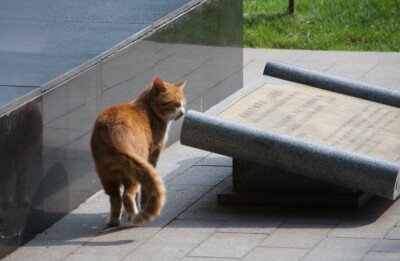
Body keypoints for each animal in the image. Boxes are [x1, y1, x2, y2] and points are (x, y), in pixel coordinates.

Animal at [90, 77, 186, 225]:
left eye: (183, 104)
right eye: (175, 104)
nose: (183, 112)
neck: (148, 108)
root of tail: (113, 137)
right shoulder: (151, 157)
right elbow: (145, 191)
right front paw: (144, 205)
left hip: (106, 174)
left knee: (115, 197)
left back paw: (114, 220)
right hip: (132, 171)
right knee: (127, 195)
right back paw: (134, 216)